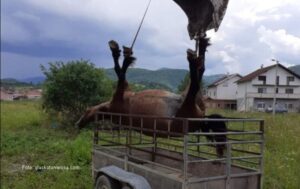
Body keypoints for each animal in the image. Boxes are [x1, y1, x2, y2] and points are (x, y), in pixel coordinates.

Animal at [76, 38, 226, 157]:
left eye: (85, 110)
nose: (79, 124)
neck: (110, 108)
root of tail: (202, 119)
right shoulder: (120, 93)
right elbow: (120, 71)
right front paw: (123, 54)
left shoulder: (122, 90)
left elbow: (119, 70)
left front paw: (120, 52)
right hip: (187, 107)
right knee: (196, 79)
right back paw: (195, 55)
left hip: (189, 99)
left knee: (198, 74)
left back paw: (200, 47)